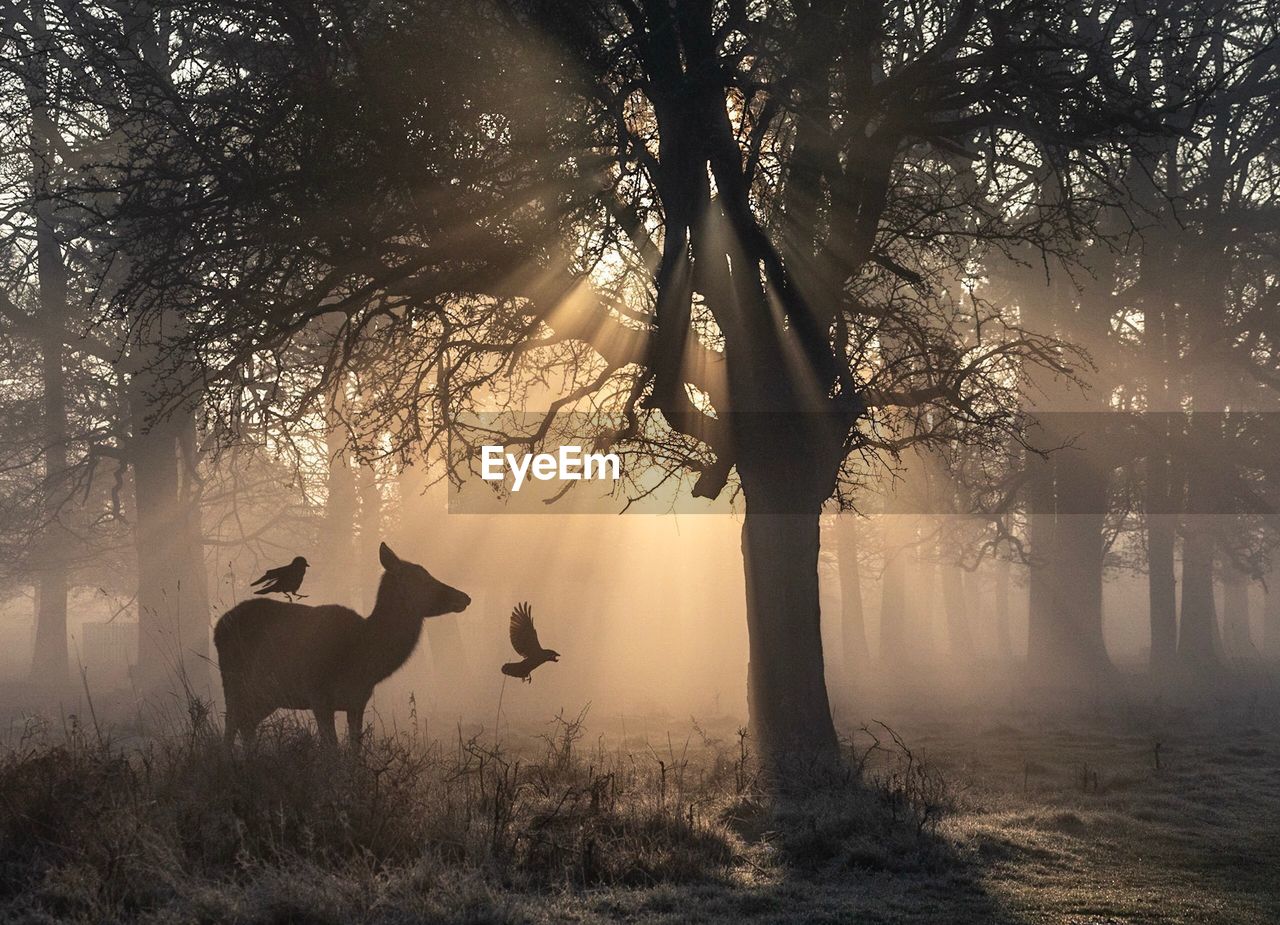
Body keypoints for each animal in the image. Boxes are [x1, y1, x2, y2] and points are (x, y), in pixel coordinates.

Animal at [215, 542, 471, 747]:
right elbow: (332, 750)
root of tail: (219, 625)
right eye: (422, 579)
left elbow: (355, 751)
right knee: (232, 721)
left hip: (267, 694)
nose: (465, 597)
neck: (363, 660)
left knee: (246, 723)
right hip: (233, 680)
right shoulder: (318, 693)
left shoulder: (358, 700)